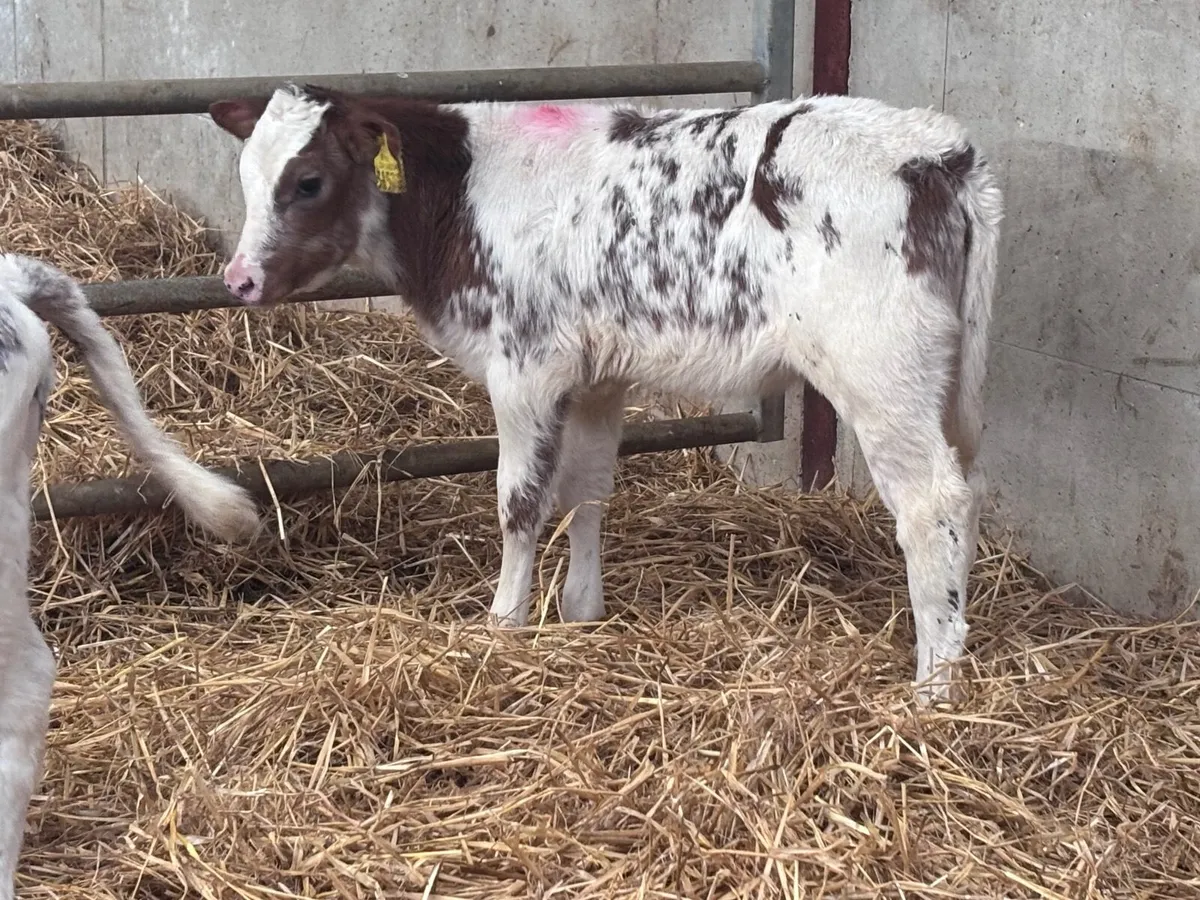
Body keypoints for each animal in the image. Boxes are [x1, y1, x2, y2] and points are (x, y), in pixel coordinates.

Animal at [208, 84, 1003, 705]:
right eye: (246, 175)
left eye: (308, 181)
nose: (238, 279)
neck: (462, 194)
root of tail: (937, 151)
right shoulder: (597, 375)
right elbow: (587, 489)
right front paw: (580, 612)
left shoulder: (525, 368)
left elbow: (521, 502)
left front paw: (504, 621)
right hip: (945, 381)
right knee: (966, 492)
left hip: (880, 374)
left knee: (933, 505)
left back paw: (934, 688)